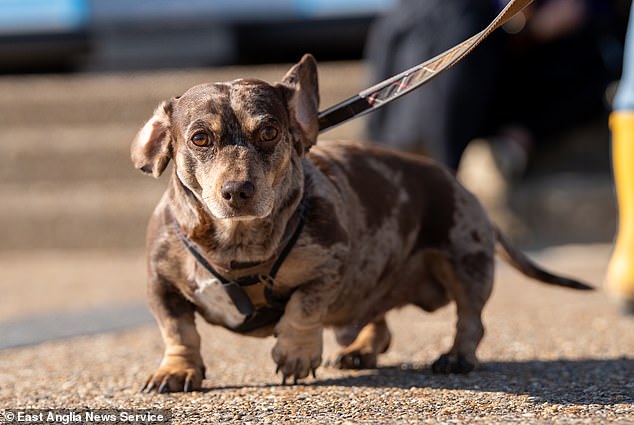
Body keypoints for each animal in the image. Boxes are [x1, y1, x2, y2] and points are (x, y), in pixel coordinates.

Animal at [130, 54, 588, 392]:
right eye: (200, 138)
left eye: (270, 132)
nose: (237, 190)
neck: (237, 245)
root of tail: (457, 182)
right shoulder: (159, 286)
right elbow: (178, 332)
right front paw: (177, 370)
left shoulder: (328, 266)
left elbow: (303, 307)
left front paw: (296, 352)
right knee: (378, 322)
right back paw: (362, 348)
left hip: (465, 264)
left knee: (470, 320)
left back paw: (456, 356)